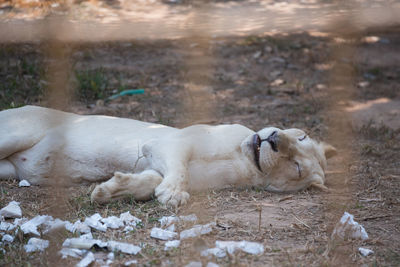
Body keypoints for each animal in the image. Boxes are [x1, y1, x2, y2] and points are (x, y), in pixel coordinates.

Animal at [0, 106, 336, 207]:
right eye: (301, 135)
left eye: (296, 167)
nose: (275, 138)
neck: (245, 162)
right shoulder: (169, 142)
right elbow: (179, 168)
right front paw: (173, 194)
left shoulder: (155, 163)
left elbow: (148, 182)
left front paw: (109, 190)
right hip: (13, 135)